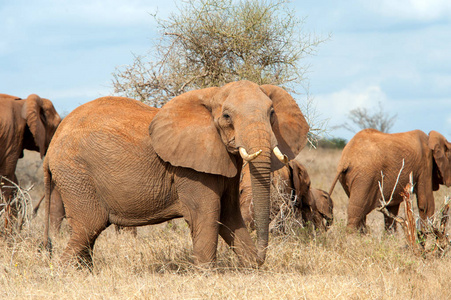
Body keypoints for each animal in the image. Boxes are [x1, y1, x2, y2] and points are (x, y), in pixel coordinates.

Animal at [0, 94, 61, 232]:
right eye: (57, 125)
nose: (34, 212)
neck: (24, 103)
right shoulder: (11, 133)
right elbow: (7, 181)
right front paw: (9, 234)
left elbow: (13, 182)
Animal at [43, 81, 310, 268]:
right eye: (227, 117)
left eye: (272, 113)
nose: (260, 258)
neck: (212, 95)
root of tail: (51, 148)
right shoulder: (191, 170)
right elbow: (207, 214)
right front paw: (206, 275)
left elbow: (229, 215)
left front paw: (250, 267)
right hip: (76, 174)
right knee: (87, 228)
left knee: (87, 236)